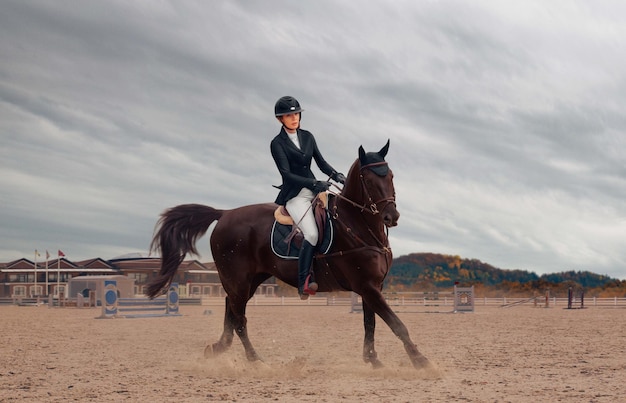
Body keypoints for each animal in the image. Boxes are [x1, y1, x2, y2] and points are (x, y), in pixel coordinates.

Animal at [146, 141, 428, 370]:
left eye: (390, 176)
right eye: (368, 180)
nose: (392, 216)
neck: (359, 226)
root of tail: (224, 214)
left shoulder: (372, 286)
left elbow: (371, 324)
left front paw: (373, 360)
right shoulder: (367, 286)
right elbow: (396, 324)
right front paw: (421, 361)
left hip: (250, 279)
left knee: (231, 310)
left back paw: (217, 349)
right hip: (237, 279)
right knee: (240, 319)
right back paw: (256, 361)